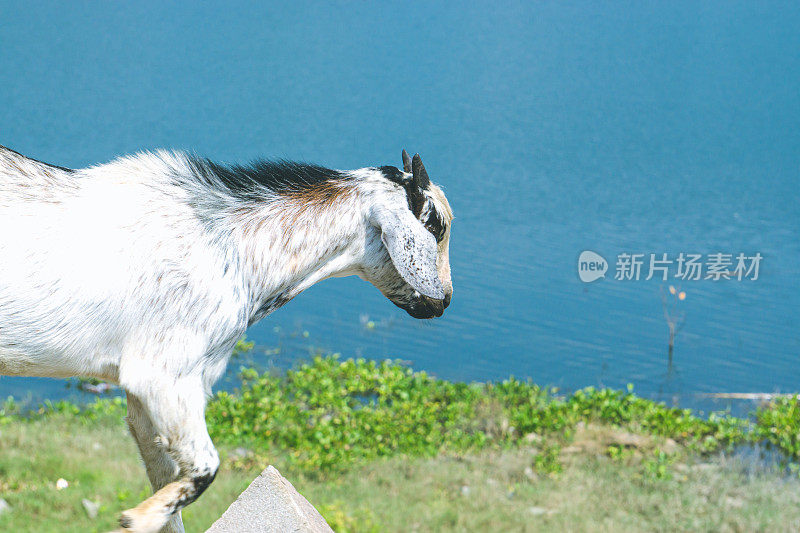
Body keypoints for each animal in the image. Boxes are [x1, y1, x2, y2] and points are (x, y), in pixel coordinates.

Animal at [0, 143, 454, 528]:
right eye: (435, 225)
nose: (445, 300)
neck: (235, 245)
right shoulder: (165, 374)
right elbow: (205, 468)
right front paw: (136, 518)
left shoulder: (148, 397)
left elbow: (167, 477)